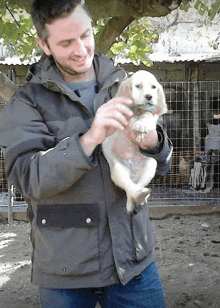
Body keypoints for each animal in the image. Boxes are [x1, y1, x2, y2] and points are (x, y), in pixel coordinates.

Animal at [102, 71, 168, 213]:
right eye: (138, 86)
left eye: (154, 87)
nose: (149, 96)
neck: (138, 110)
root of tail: (132, 174)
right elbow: (128, 118)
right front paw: (134, 123)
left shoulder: (152, 115)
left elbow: (147, 115)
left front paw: (141, 125)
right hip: (118, 170)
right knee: (130, 188)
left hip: (151, 164)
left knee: (138, 186)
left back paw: (143, 195)